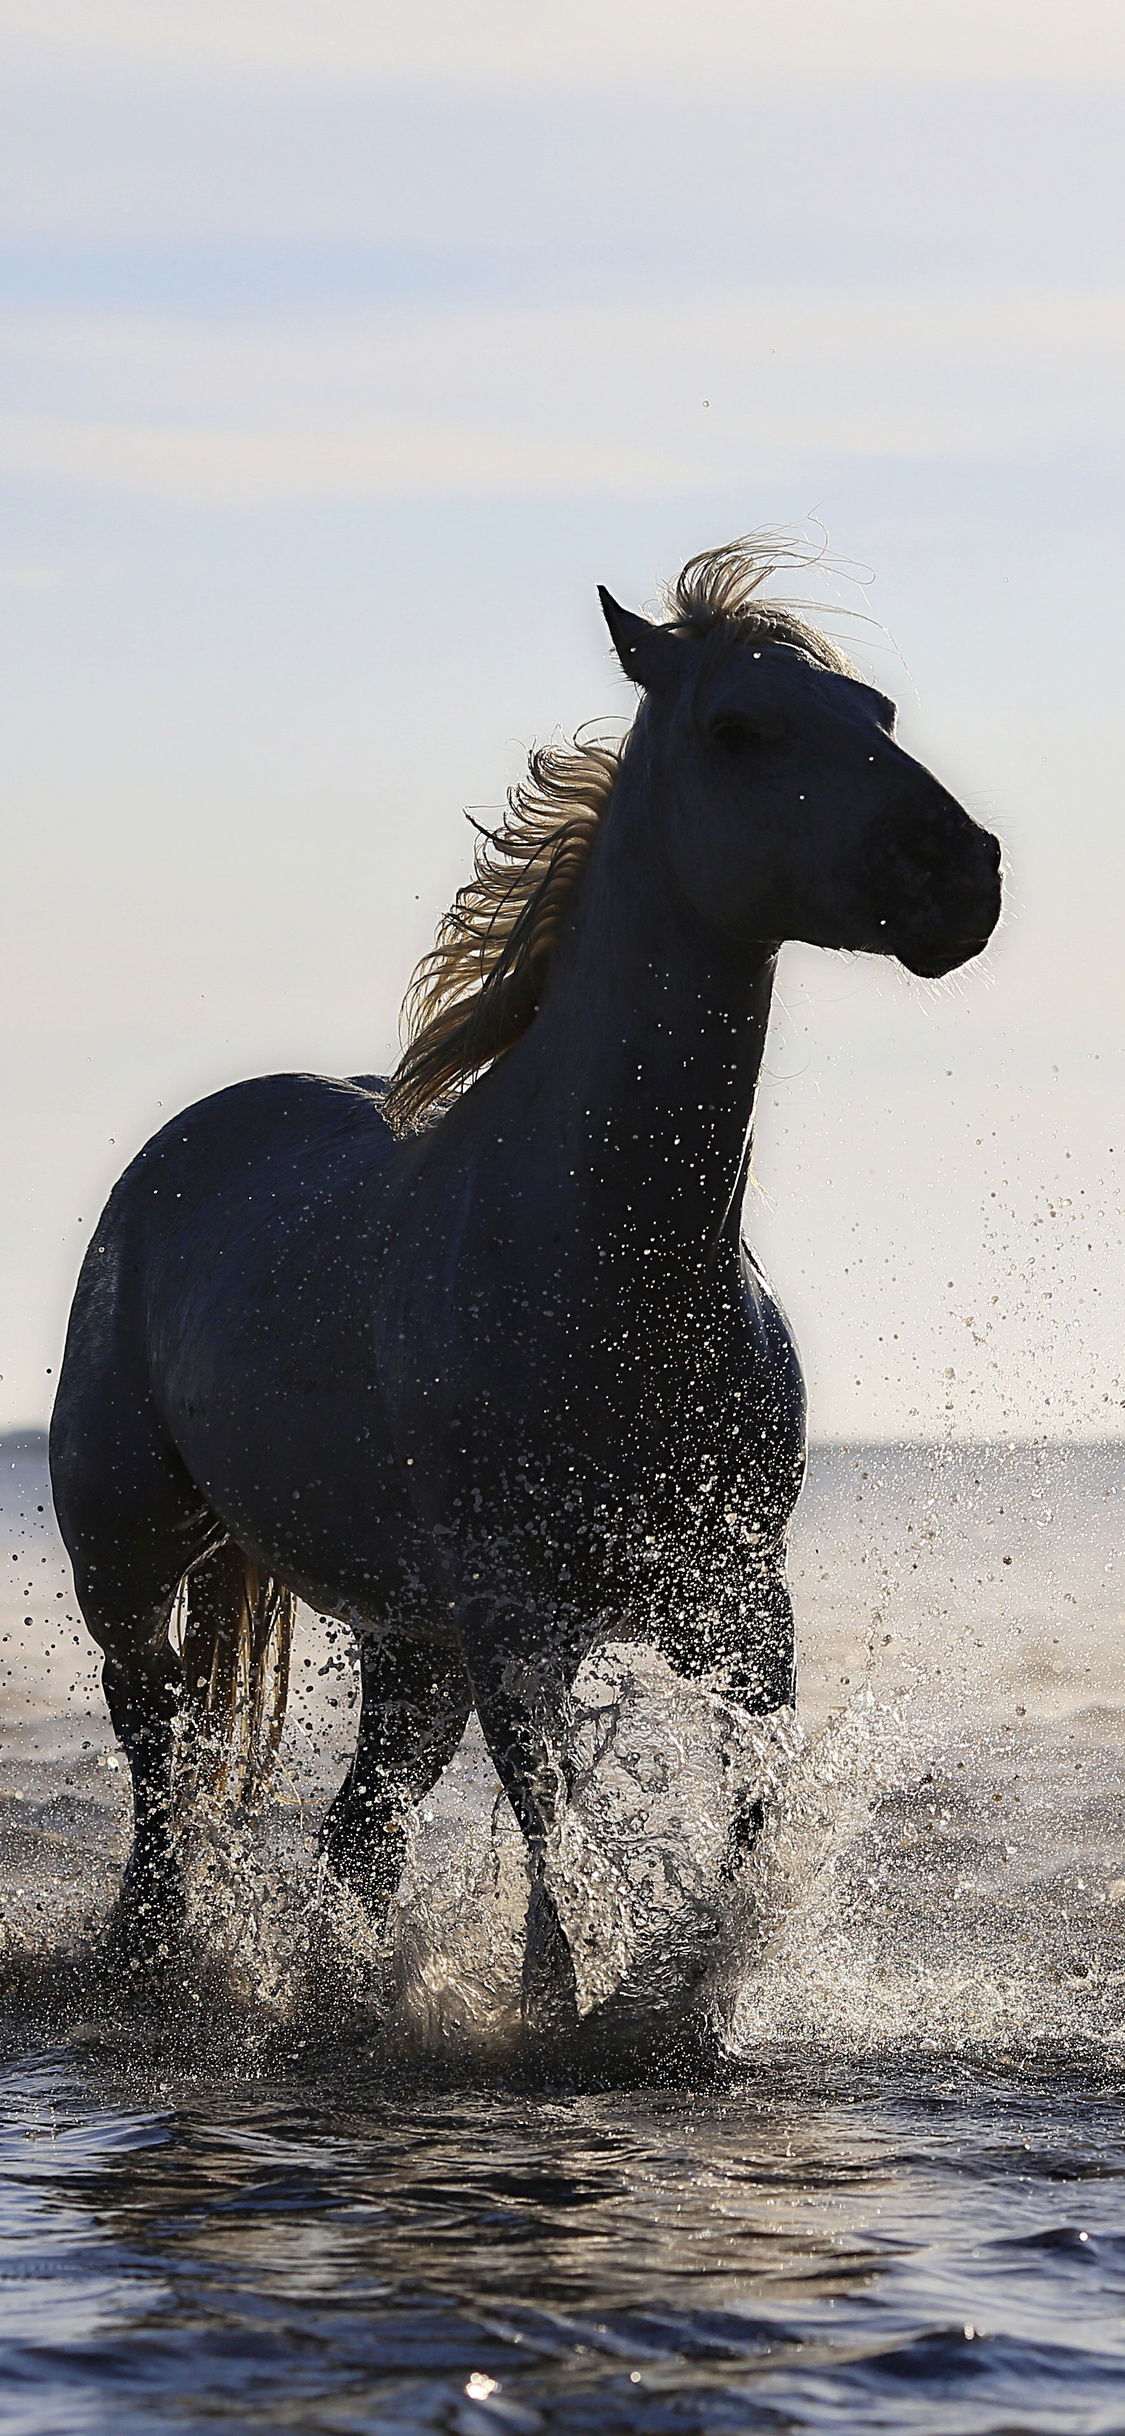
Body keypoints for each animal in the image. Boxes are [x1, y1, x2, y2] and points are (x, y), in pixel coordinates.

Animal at [49, 538, 1003, 2029]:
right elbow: (561, 1837)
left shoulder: (735, 1603)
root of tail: (183, 1145)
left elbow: (733, 1817)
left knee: (357, 1831)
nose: (960, 874)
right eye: (741, 727)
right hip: (131, 1557)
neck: (610, 1266)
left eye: (881, 713)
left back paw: (349, 1993)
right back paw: (153, 1958)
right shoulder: (515, 1619)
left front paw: (673, 1998)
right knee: (161, 1774)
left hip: (407, 1640)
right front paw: (574, 2011)